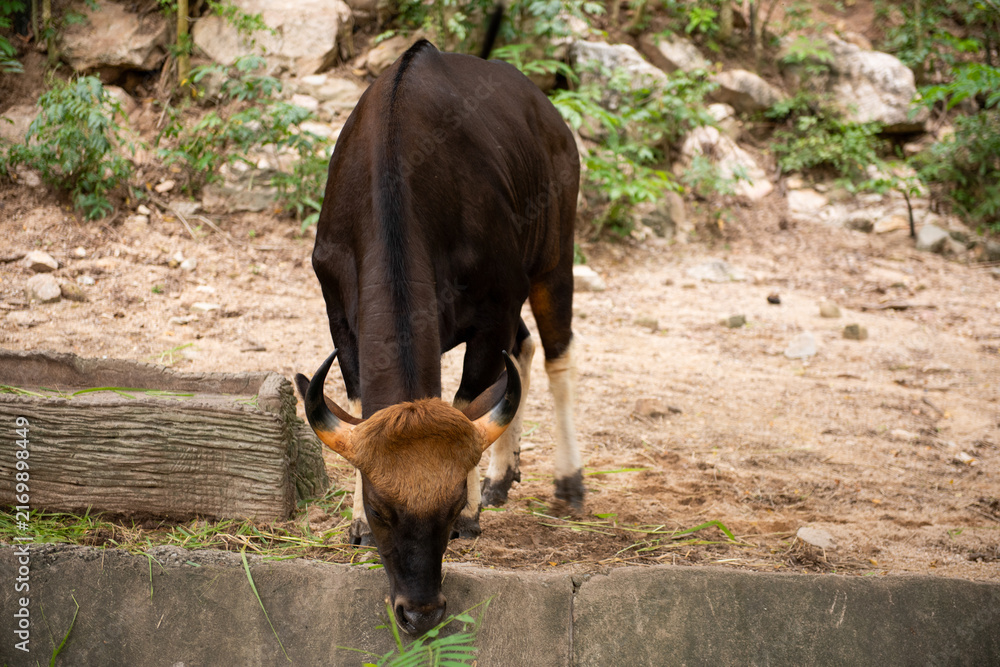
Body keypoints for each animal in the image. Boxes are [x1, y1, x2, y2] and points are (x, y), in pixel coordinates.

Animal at [295, 13, 581, 637]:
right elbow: (360, 397)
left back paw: (570, 483)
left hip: (555, 257)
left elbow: (472, 396)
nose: (420, 612)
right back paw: (502, 477)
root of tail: (547, 113)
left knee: (556, 354)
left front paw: (475, 507)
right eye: (381, 508)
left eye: (446, 511)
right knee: (523, 352)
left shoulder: (496, 304)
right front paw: (353, 522)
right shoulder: (338, 310)